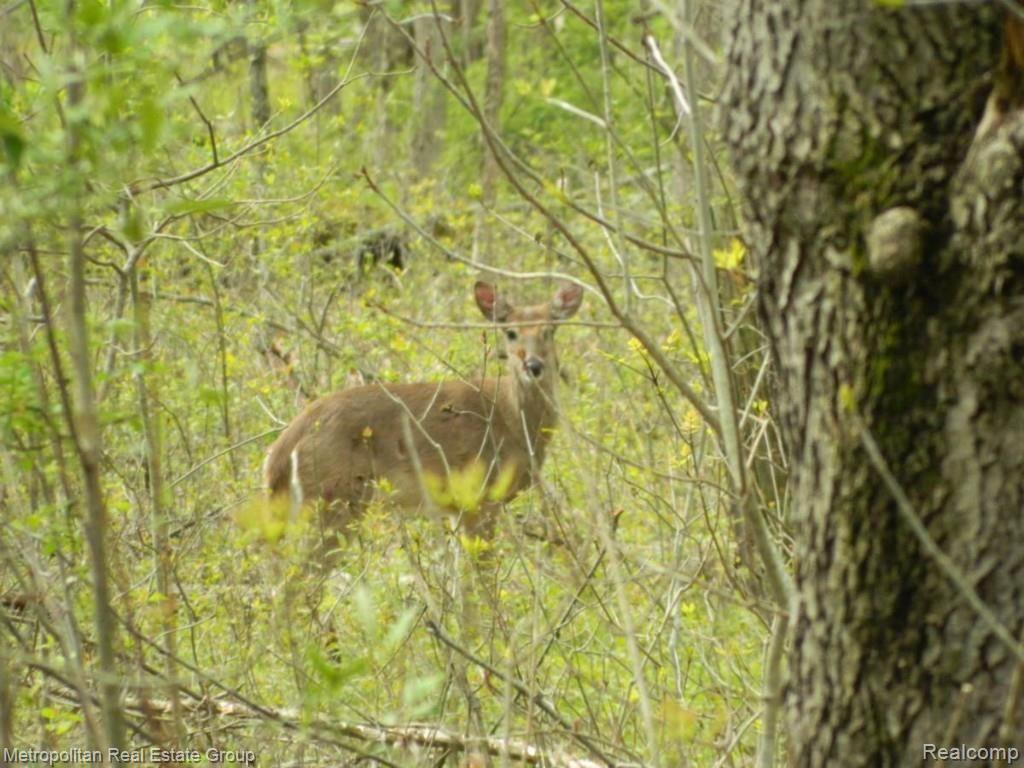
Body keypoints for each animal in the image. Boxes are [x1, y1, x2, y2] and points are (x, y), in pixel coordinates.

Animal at [262, 280, 584, 547]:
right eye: (511, 332)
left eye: (549, 330)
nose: (534, 366)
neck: (512, 420)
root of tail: (280, 450)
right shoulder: (479, 496)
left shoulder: (455, 508)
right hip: (334, 500)